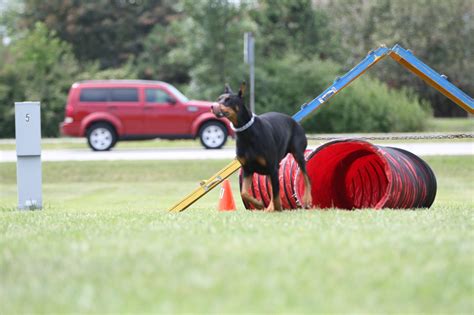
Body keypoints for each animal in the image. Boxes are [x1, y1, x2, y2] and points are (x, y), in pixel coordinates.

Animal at [211, 83, 312, 212]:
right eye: (219, 98)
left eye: (228, 100)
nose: (212, 106)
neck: (246, 133)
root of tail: (295, 122)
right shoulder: (247, 169)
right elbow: (244, 192)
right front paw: (259, 204)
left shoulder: (273, 168)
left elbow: (276, 195)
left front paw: (277, 208)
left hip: (298, 155)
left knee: (306, 177)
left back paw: (306, 199)